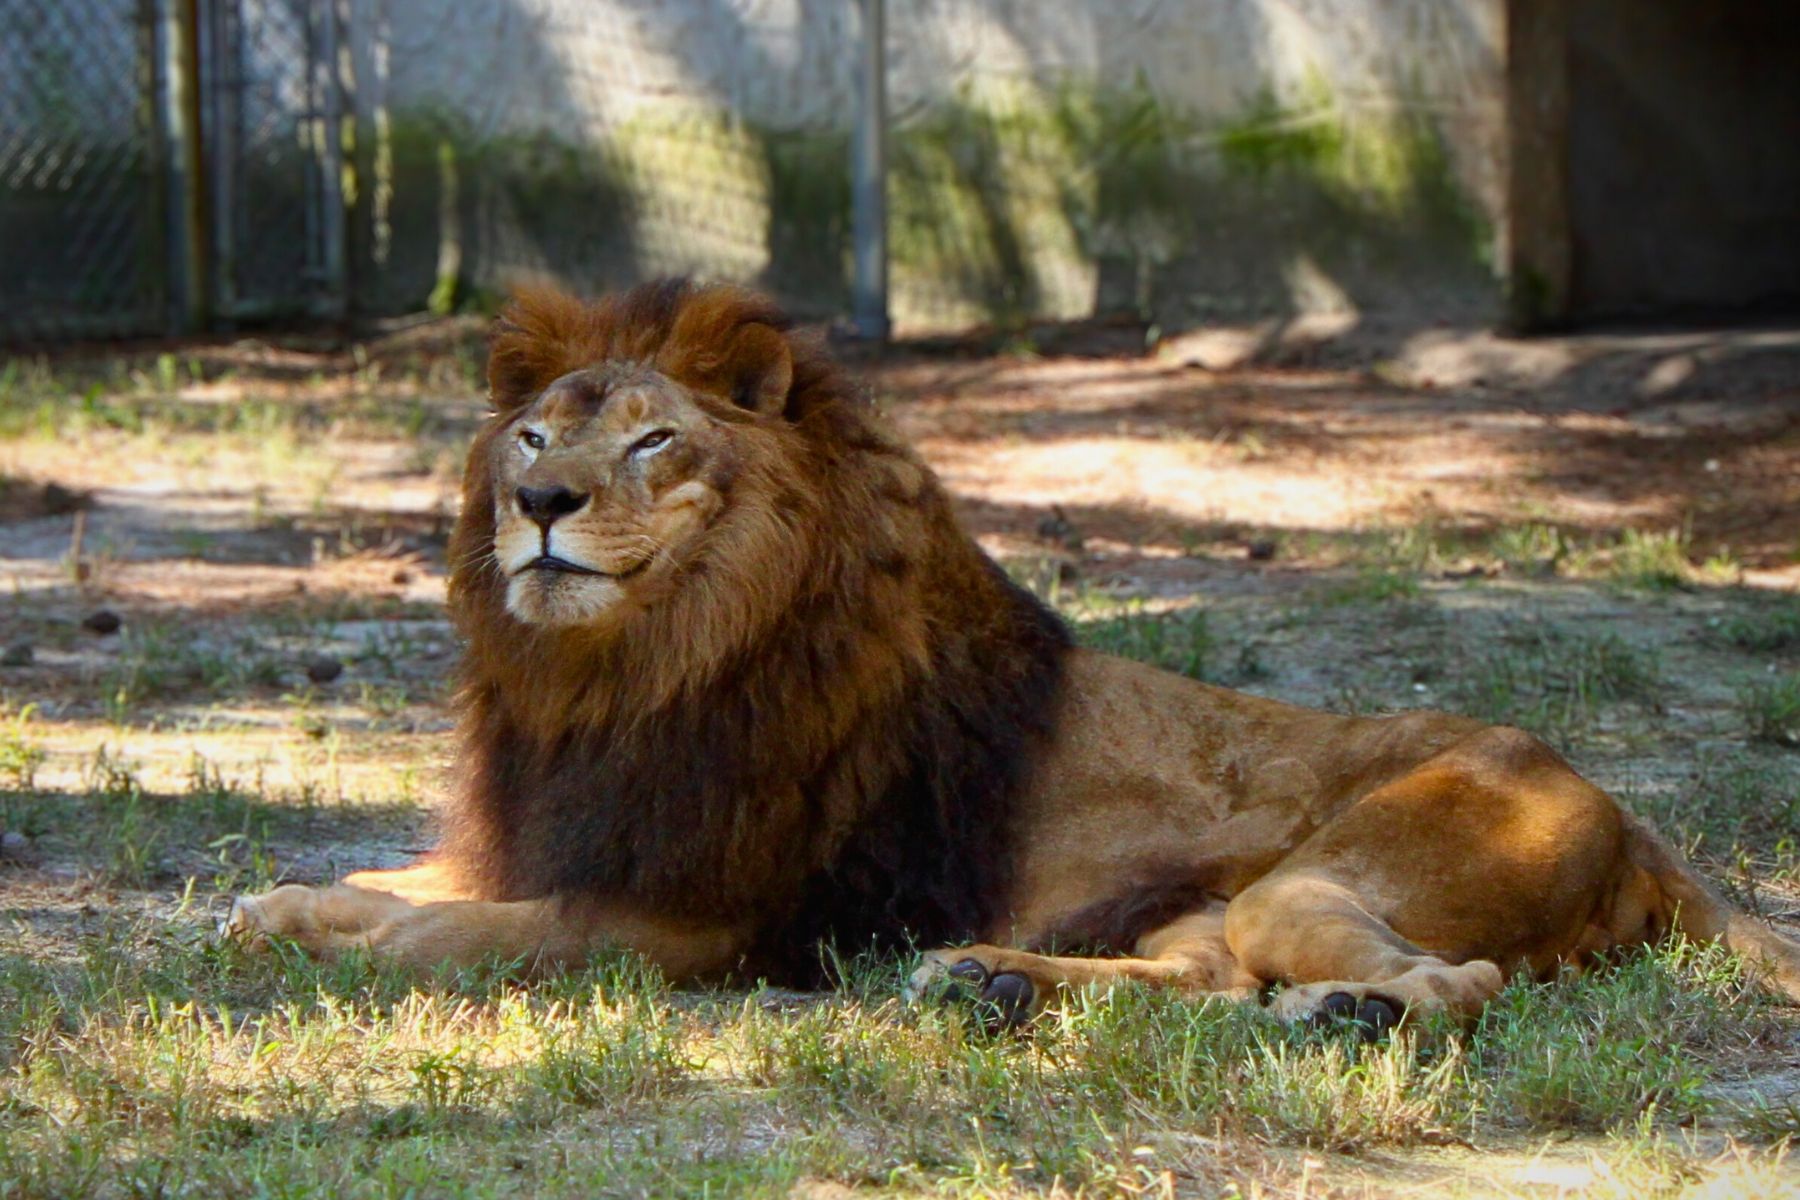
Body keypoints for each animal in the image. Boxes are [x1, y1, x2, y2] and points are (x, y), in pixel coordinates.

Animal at [225, 282, 1800, 1036]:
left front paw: (345, 943)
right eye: (536, 436)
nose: (541, 504)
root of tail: (1636, 819)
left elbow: (464, 934)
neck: (622, 673)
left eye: (654, 440)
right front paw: (276, 903)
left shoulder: (698, 922)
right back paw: (991, 984)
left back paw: (1355, 1013)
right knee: (1215, 983)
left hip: (1336, 873)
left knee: (1447, 984)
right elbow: (402, 880)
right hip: (1198, 911)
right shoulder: (561, 833)